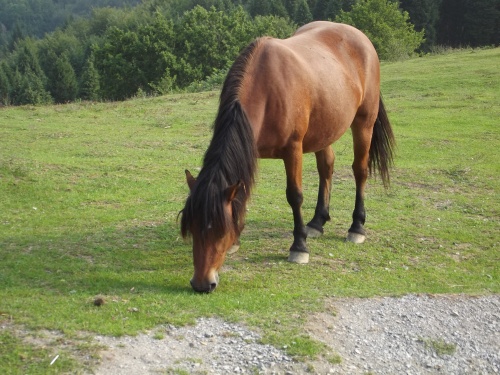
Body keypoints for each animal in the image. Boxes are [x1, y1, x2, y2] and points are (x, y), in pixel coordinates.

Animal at [180, 21, 394, 294]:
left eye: (219, 230)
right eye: (192, 228)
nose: (202, 283)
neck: (266, 88)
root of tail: (360, 37)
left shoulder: (293, 150)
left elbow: (295, 196)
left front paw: (299, 247)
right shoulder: (251, 151)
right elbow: (243, 193)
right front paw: (238, 237)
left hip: (364, 123)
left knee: (360, 171)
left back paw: (356, 227)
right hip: (325, 130)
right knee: (327, 167)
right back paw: (317, 222)